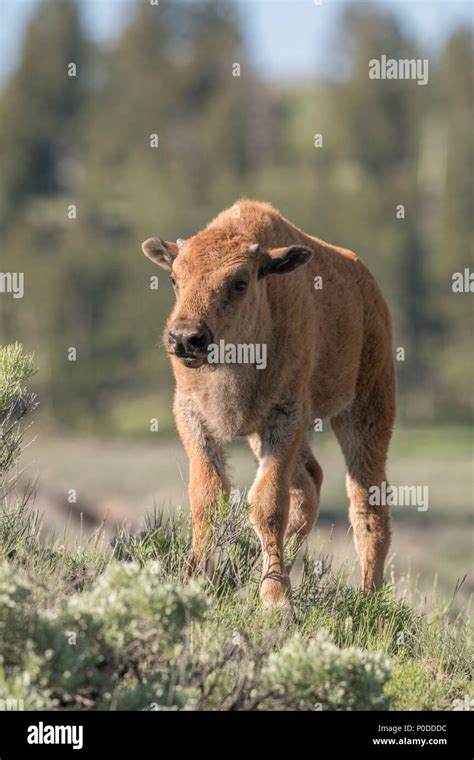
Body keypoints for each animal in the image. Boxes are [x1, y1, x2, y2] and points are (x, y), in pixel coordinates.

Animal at [143, 199, 394, 608]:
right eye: (174, 279)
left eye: (240, 282)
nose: (185, 339)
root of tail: (370, 290)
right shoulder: (193, 415)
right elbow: (208, 497)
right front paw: (194, 580)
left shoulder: (284, 416)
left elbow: (267, 504)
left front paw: (276, 601)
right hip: (273, 433)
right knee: (310, 485)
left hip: (366, 409)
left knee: (368, 506)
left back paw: (368, 601)